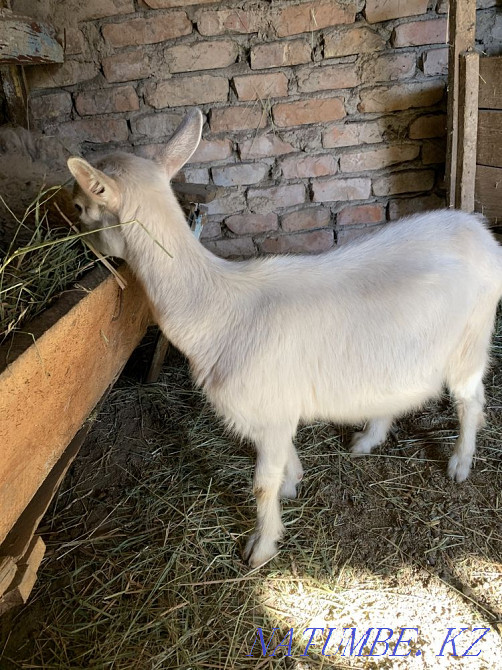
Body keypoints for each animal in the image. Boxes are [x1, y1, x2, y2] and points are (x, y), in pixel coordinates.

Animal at [67, 109, 502, 568]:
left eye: (79, 206)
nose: (78, 248)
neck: (214, 308)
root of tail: (479, 231)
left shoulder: (269, 408)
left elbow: (262, 483)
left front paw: (261, 547)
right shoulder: (275, 411)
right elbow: (282, 462)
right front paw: (293, 483)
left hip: (471, 344)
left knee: (471, 401)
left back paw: (460, 463)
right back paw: (367, 439)